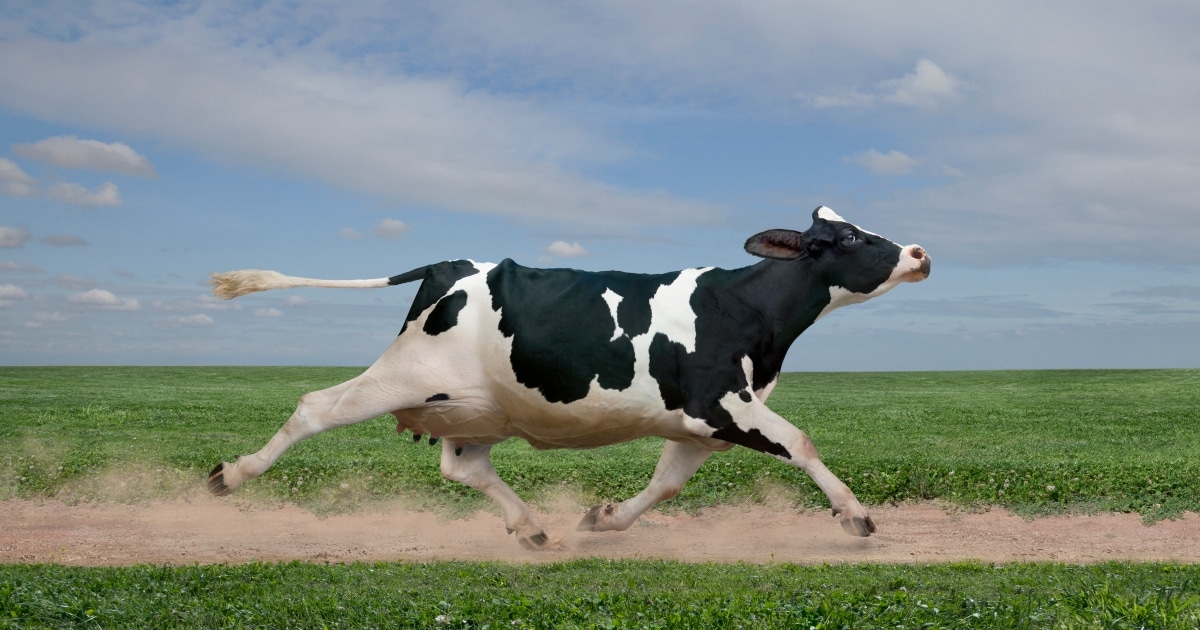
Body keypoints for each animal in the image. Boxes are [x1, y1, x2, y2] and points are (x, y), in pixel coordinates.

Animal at [207, 207, 930, 549]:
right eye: (847, 238)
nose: (919, 253)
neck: (746, 308)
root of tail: (448, 264)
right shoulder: (724, 403)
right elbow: (802, 442)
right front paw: (855, 517)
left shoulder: (697, 422)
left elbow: (666, 485)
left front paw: (603, 519)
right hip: (405, 375)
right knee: (315, 406)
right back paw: (229, 476)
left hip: (476, 406)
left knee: (463, 466)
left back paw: (531, 528)